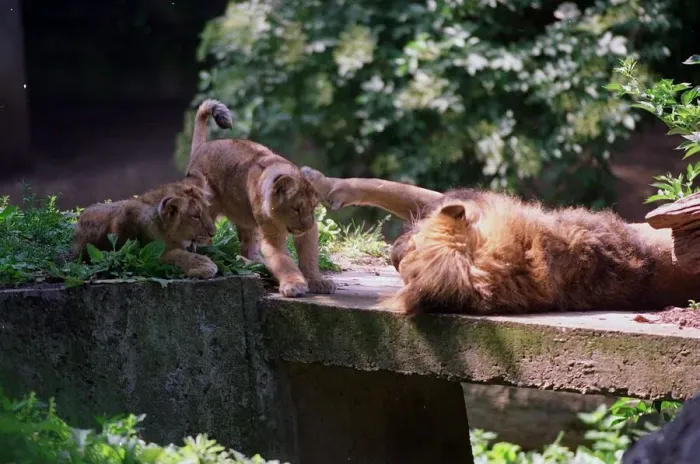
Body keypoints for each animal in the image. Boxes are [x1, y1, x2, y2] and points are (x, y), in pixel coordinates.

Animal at [72, 171, 219, 278]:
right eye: (195, 216)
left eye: (207, 210)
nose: (213, 233)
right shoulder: (141, 256)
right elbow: (177, 254)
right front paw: (205, 265)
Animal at [185, 99, 336, 297]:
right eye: (295, 208)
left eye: (313, 208)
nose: (306, 226)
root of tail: (201, 148)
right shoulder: (272, 239)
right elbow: (284, 263)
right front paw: (294, 285)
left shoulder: (309, 233)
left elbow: (309, 258)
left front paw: (317, 281)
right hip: (206, 213)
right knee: (204, 239)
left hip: (246, 220)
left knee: (247, 247)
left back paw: (257, 264)